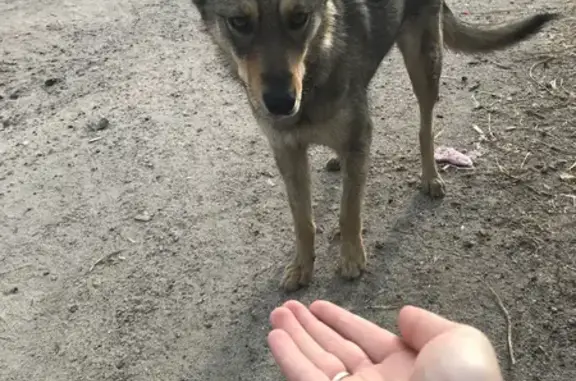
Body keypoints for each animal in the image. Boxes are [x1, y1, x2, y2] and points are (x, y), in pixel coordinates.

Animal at [190, 0, 560, 290]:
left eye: (299, 18)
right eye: (239, 23)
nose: (281, 104)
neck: (316, 63)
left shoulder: (358, 138)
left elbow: (349, 209)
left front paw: (352, 256)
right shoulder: (287, 152)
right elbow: (303, 219)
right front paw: (303, 265)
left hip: (424, 62)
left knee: (425, 127)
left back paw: (430, 176)